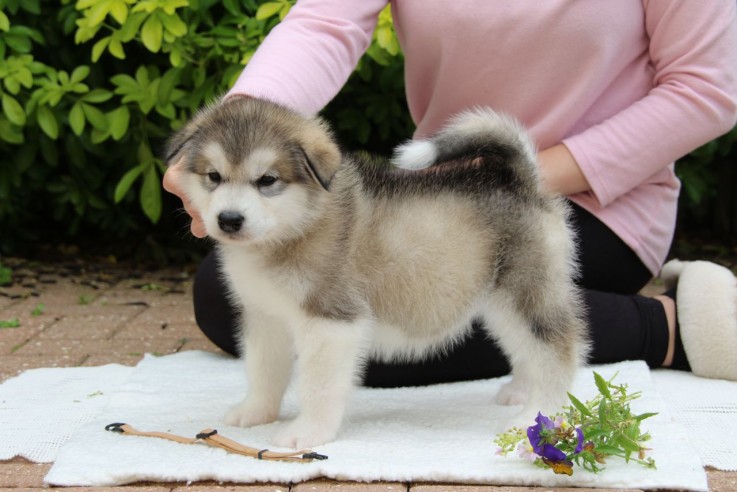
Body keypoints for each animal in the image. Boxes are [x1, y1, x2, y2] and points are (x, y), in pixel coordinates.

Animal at [167, 97, 588, 450]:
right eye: (214, 177)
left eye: (267, 180)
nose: (229, 220)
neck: (292, 230)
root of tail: (520, 180)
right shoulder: (265, 317)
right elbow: (262, 369)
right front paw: (256, 412)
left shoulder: (331, 321)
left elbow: (317, 385)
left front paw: (307, 433)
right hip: (499, 303)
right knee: (527, 348)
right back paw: (520, 392)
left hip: (524, 291)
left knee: (557, 351)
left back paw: (539, 416)